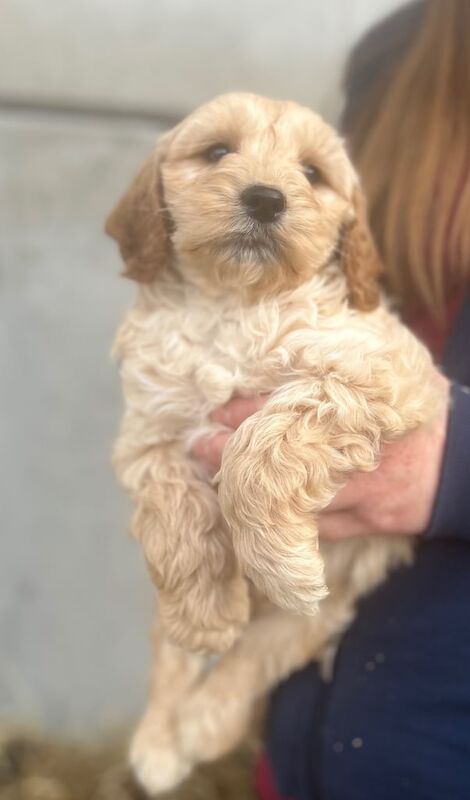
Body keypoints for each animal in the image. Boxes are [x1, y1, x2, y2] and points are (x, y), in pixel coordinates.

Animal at [105, 92, 444, 792]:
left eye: (312, 173)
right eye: (216, 152)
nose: (265, 199)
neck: (233, 303)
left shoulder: (384, 371)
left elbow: (260, 447)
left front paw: (280, 562)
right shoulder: (148, 435)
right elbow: (177, 520)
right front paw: (205, 616)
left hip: (328, 607)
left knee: (266, 651)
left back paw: (200, 724)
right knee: (170, 646)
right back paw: (159, 741)